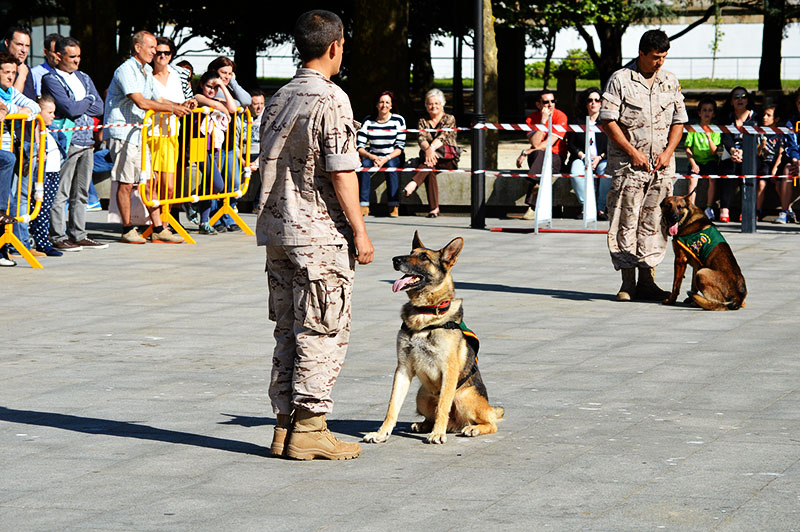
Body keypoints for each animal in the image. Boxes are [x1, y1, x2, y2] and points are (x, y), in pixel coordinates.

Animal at [364, 232, 506, 444]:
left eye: (424, 257)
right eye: (411, 252)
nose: (395, 259)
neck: (425, 313)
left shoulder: (449, 371)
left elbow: (443, 407)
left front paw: (438, 433)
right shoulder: (402, 369)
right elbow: (392, 407)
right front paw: (382, 433)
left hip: (463, 396)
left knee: (489, 422)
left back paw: (472, 428)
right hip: (422, 395)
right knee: (432, 415)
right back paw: (423, 425)